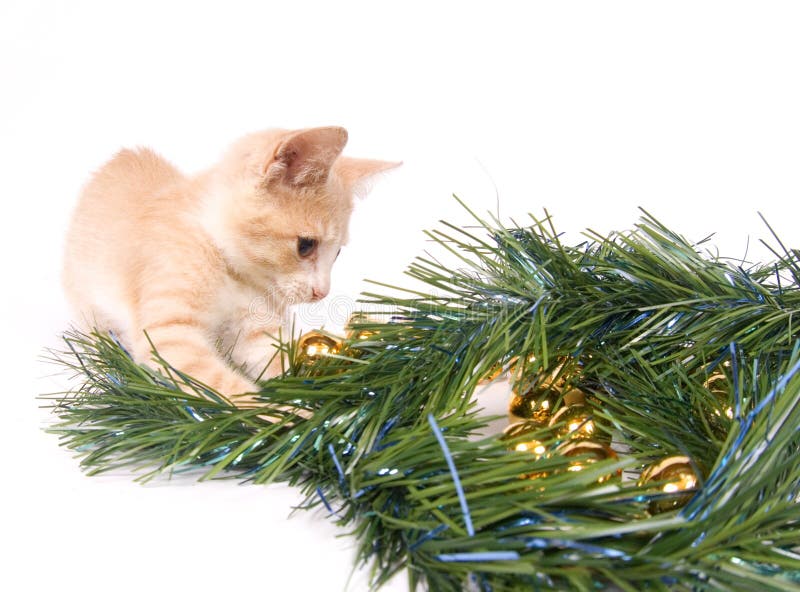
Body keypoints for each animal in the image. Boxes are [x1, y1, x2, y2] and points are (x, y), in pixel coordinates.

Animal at [61, 126, 396, 404]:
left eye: (337, 254)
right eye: (306, 246)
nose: (322, 293)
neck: (227, 267)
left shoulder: (257, 333)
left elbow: (280, 362)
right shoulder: (169, 336)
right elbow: (223, 386)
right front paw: (282, 417)